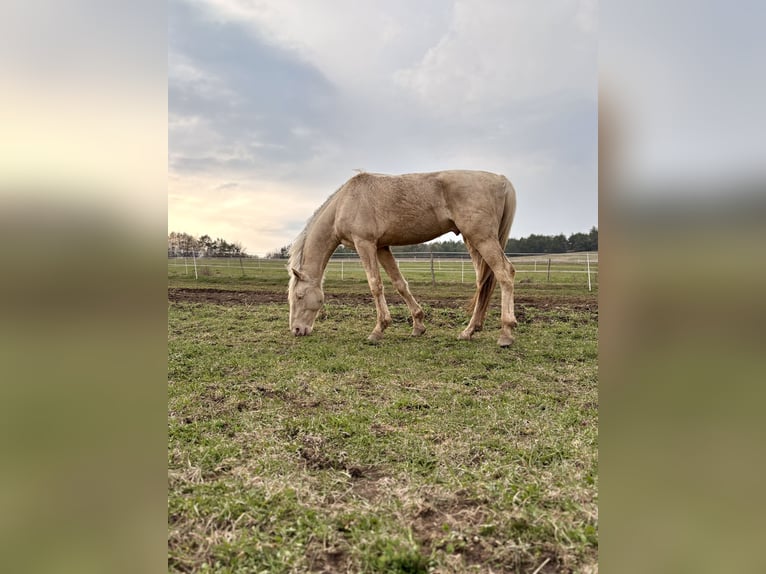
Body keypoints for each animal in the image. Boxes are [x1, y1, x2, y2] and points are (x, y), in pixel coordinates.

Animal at [287, 170, 518, 346]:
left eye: (299, 296)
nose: (296, 330)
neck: (346, 202)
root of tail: (501, 179)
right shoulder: (382, 247)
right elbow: (400, 284)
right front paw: (418, 325)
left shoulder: (365, 244)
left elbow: (375, 285)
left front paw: (378, 330)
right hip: (475, 241)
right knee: (484, 282)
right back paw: (469, 331)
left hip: (481, 238)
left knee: (505, 274)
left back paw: (506, 333)